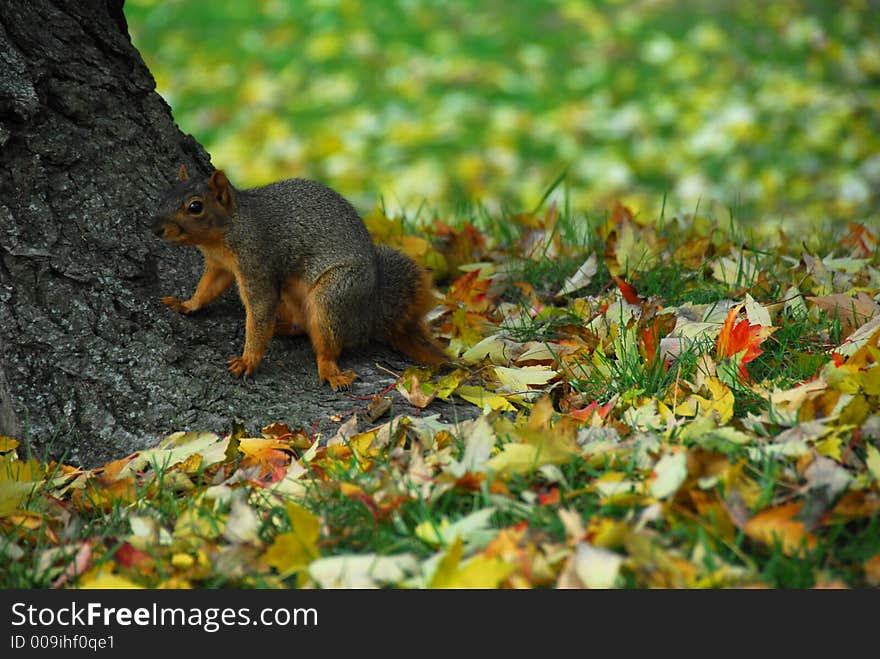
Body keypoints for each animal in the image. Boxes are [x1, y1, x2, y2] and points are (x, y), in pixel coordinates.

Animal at [150, 166, 446, 392]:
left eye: (195, 207)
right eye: (163, 198)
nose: (155, 229)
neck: (230, 227)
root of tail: (371, 317)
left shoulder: (257, 261)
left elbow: (260, 309)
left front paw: (248, 360)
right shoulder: (219, 266)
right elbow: (207, 289)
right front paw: (186, 304)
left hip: (333, 296)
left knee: (328, 343)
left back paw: (330, 371)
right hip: (295, 295)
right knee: (301, 326)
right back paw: (281, 327)